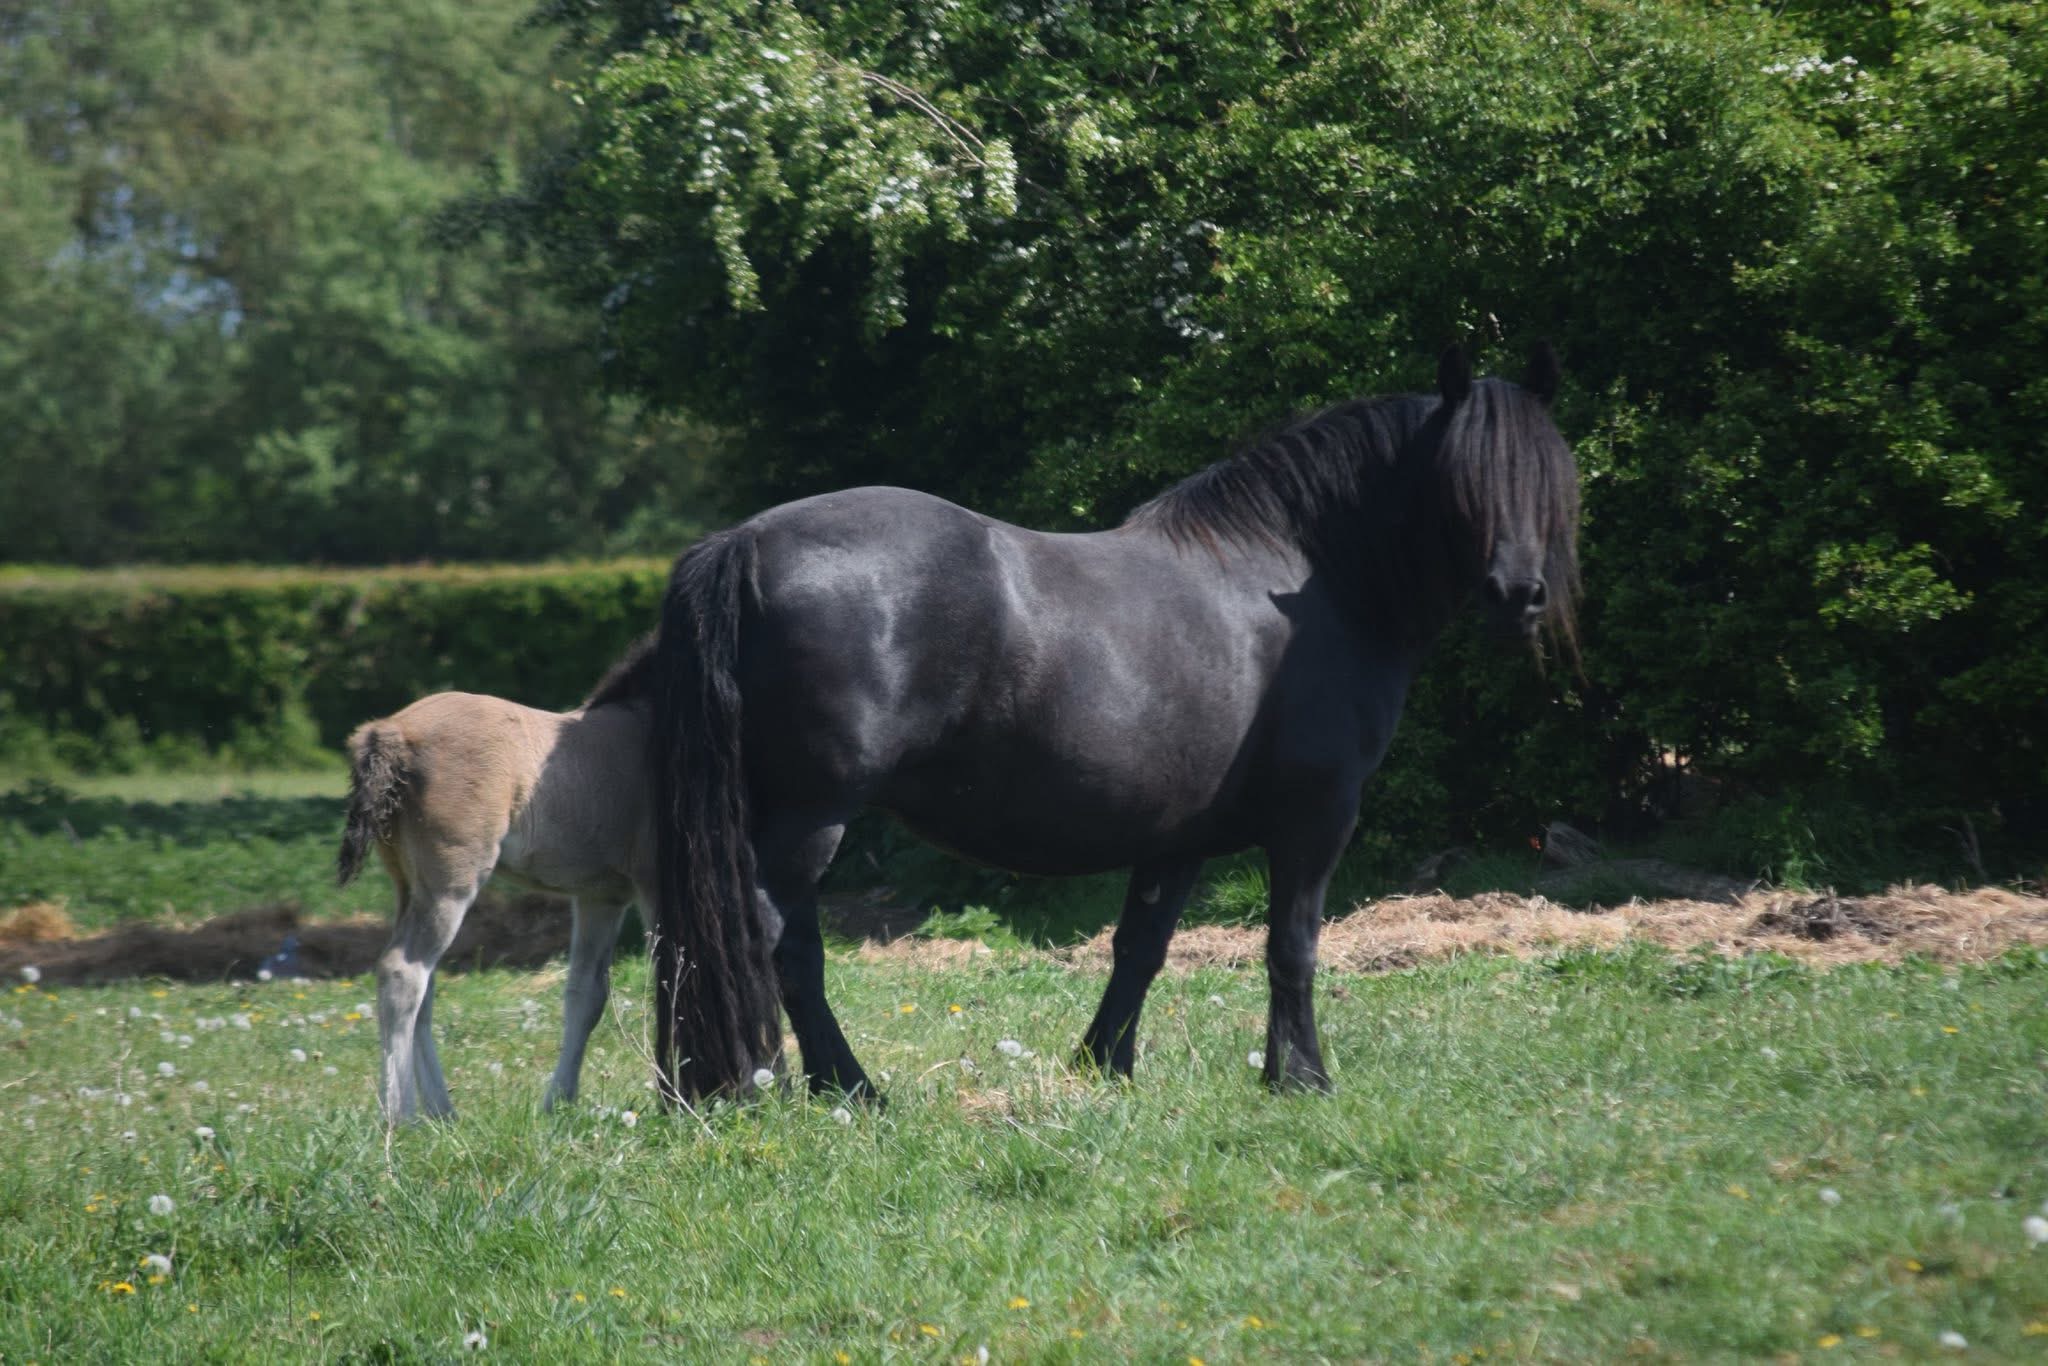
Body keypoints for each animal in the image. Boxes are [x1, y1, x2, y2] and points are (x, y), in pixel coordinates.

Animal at [336, 640, 660, 1124]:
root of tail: (391, 730)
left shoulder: (601, 896)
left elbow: (586, 994)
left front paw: (559, 1102)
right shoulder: (655, 886)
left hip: (408, 886)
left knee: (423, 987)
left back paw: (442, 1112)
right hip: (450, 885)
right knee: (402, 972)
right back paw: (401, 1115)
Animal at [634, 345, 1579, 1103]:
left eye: (1546, 475)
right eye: (1464, 478)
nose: (1518, 596)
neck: (1306, 580)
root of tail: (746, 543)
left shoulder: (1178, 836)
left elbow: (1141, 947)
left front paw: (1104, 1065)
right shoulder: (1317, 817)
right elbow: (1293, 944)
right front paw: (1301, 1079)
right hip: (810, 818)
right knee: (769, 942)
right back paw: (807, 1090)